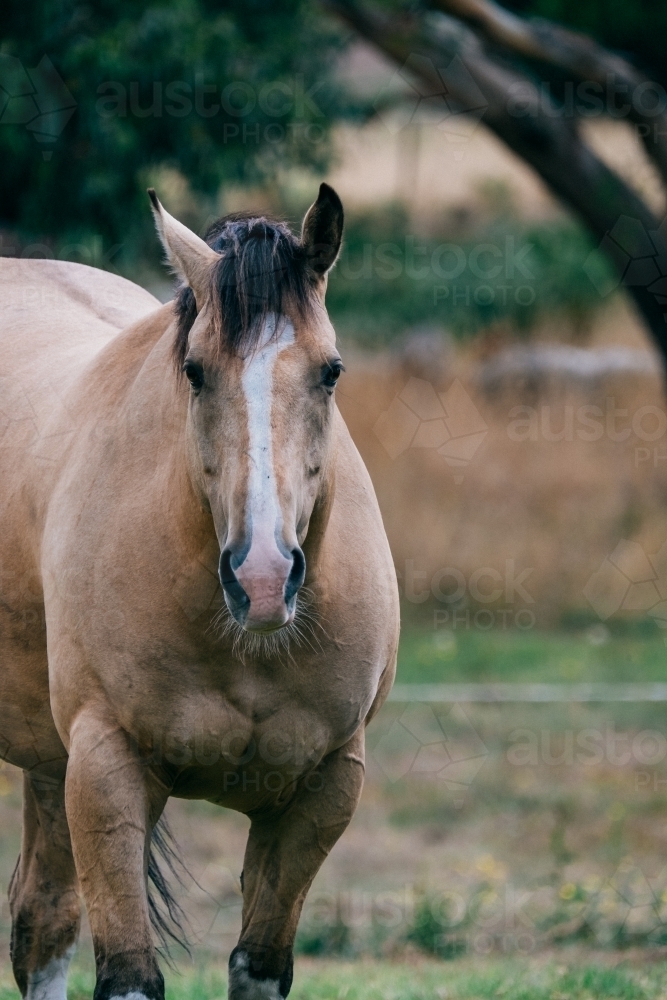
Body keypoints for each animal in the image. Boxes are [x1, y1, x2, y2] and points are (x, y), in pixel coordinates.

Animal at [0, 186, 400, 1000]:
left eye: (331, 371)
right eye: (194, 371)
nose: (262, 578)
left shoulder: (321, 790)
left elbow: (258, 967)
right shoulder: (106, 771)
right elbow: (128, 976)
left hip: (47, 759)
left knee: (42, 924)